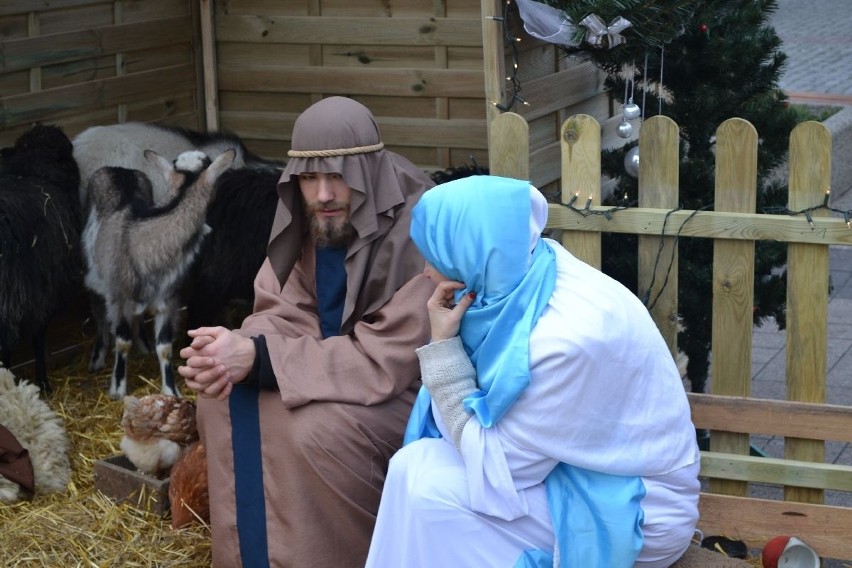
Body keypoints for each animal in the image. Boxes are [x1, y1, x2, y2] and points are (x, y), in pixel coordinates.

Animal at [83, 149, 236, 402]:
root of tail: (119, 169)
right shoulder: (118, 299)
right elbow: (122, 341)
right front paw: (118, 389)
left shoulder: (169, 301)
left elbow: (164, 346)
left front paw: (171, 390)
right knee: (99, 313)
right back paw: (96, 359)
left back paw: (143, 345)